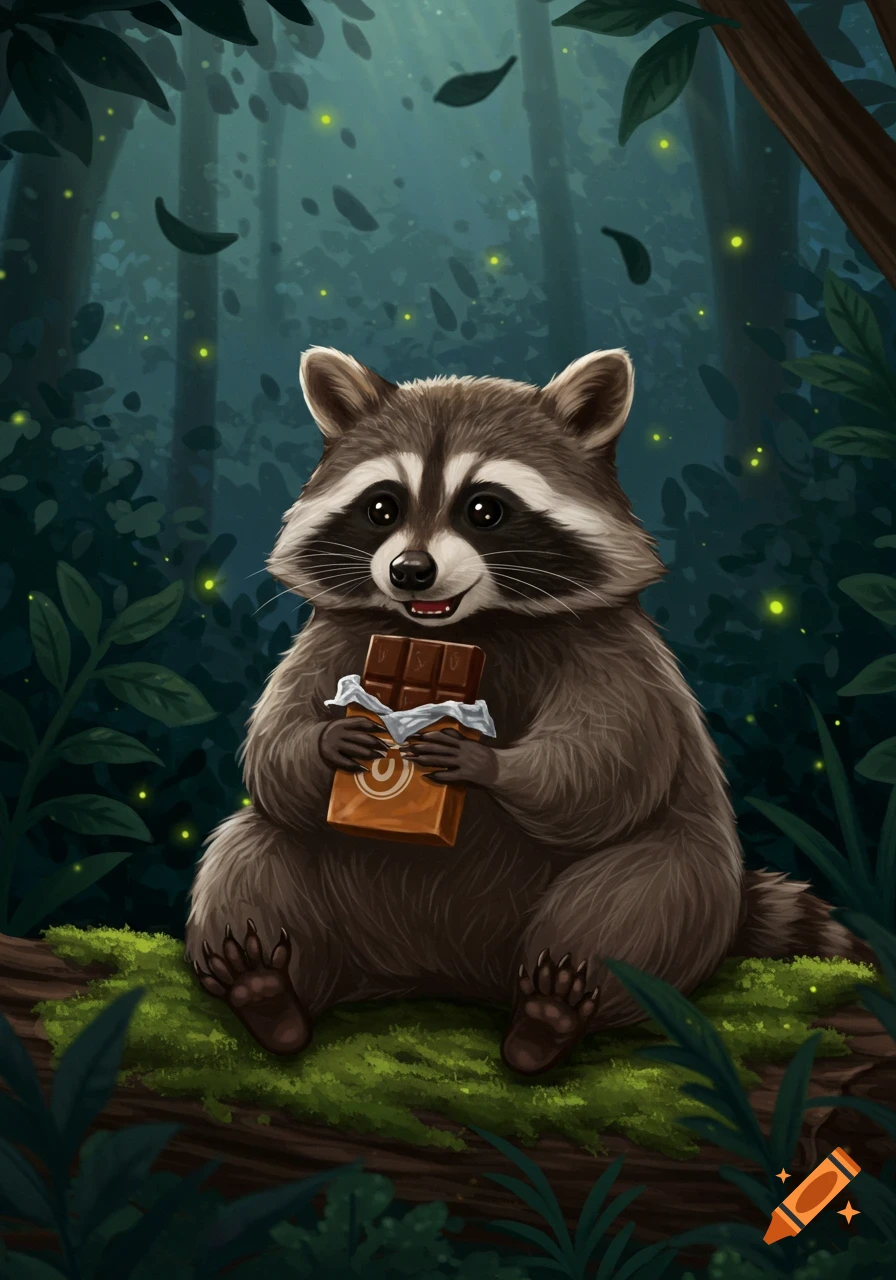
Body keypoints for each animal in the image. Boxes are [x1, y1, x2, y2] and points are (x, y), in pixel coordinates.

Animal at [186, 346, 871, 1075]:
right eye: (382, 507)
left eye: (485, 510)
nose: (409, 571)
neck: (459, 628)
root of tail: (440, 974)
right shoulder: (337, 634)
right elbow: (274, 753)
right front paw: (329, 742)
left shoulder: (615, 654)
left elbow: (605, 766)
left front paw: (486, 761)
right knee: (253, 850)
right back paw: (264, 985)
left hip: (685, 892)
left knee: (642, 896)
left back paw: (554, 1009)